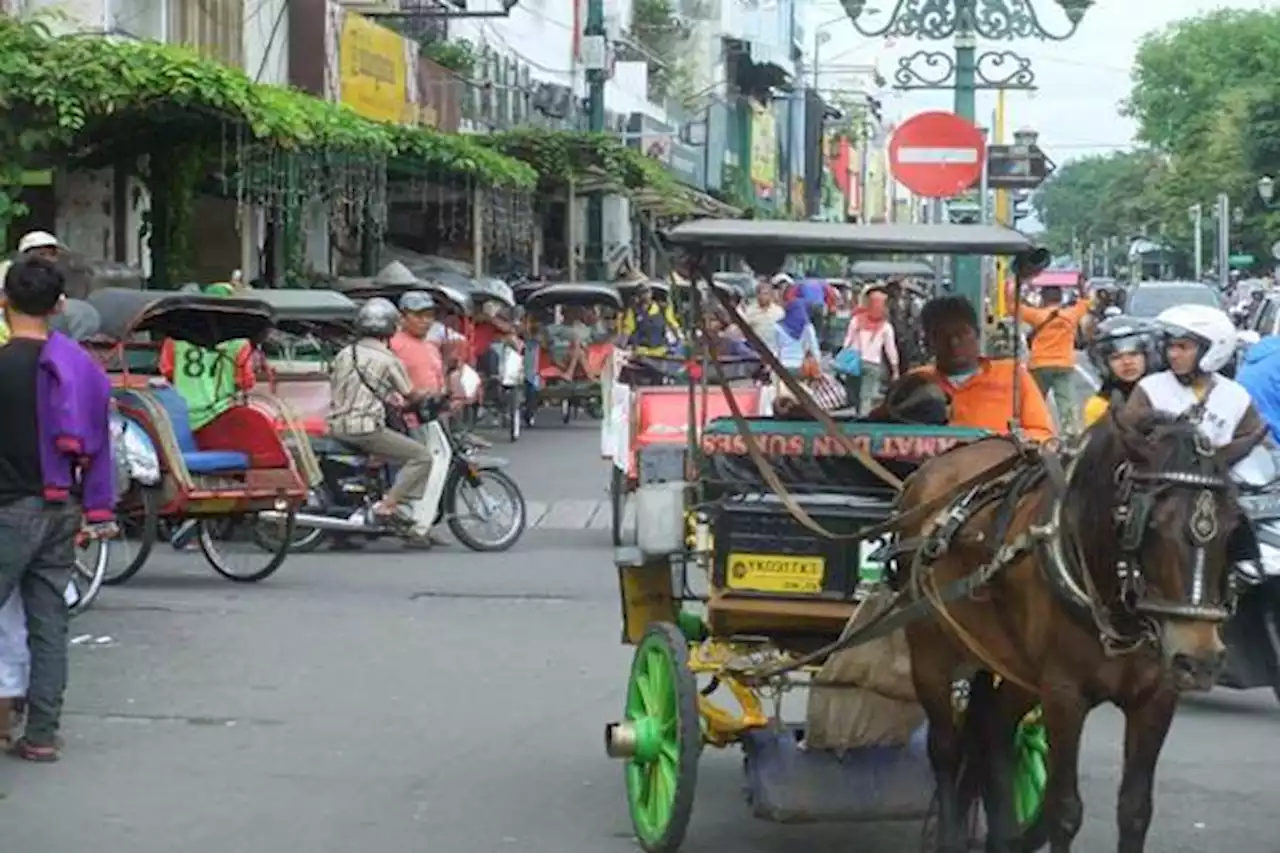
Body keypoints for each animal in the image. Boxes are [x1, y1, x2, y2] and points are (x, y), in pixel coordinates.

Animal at [896, 407, 1244, 850]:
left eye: (1233, 527)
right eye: (1152, 524)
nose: (1199, 659)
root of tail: (929, 472)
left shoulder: (1157, 697)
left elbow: (1135, 811)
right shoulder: (1064, 695)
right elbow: (1063, 811)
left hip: (1009, 663)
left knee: (990, 727)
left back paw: (1002, 835)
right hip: (930, 650)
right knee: (946, 748)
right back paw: (952, 834)